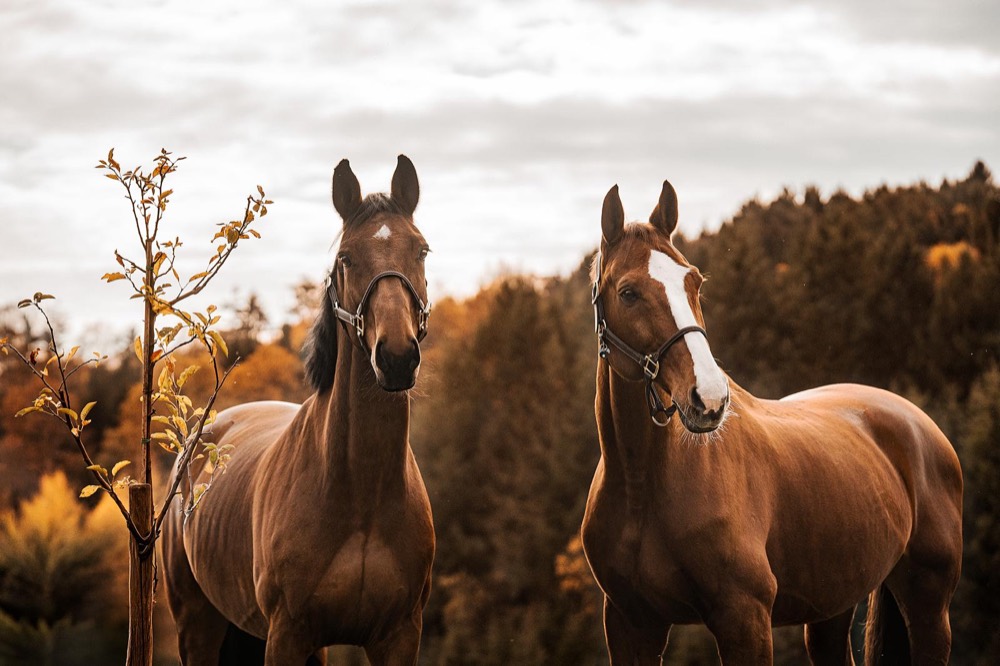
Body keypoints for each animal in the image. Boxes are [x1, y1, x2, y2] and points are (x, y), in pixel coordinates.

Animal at [162, 155, 436, 666]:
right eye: (346, 258)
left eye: (422, 250)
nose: (395, 356)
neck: (360, 491)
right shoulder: (287, 635)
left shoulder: (399, 636)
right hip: (196, 624)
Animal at [580, 180, 963, 665]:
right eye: (628, 292)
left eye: (694, 282)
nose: (709, 398)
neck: (643, 486)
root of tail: (920, 424)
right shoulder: (631, 624)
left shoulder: (745, 619)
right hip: (831, 609)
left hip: (930, 609)